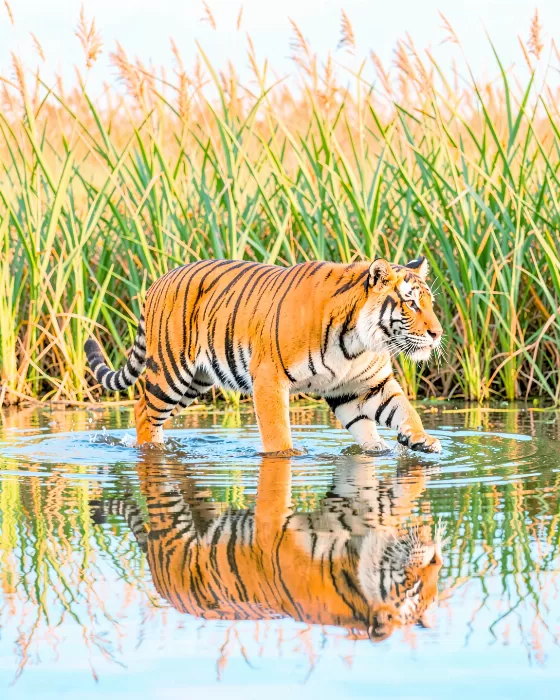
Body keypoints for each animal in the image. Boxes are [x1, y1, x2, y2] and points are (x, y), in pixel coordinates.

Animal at [85, 256, 443, 453]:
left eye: (429, 302)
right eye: (411, 303)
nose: (437, 334)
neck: (356, 343)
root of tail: (158, 280)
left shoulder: (363, 386)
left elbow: (403, 408)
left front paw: (420, 439)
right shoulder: (270, 379)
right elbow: (277, 432)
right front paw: (288, 456)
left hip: (195, 382)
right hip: (170, 374)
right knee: (142, 409)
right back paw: (152, 450)